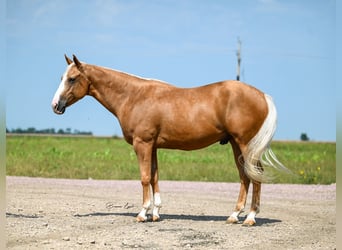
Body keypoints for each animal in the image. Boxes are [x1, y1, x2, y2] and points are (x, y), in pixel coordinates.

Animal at [51, 54, 286, 227]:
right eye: (61, 77)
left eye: (72, 78)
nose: (55, 105)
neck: (134, 96)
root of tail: (262, 95)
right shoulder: (153, 146)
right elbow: (155, 177)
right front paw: (155, 213)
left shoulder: (142, 144)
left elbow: (145, 177)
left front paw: (142, 213)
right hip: (237, 145)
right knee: (245, 177)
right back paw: (234, 215)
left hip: (246, 145)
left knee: (256, 176)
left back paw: (250, 218)